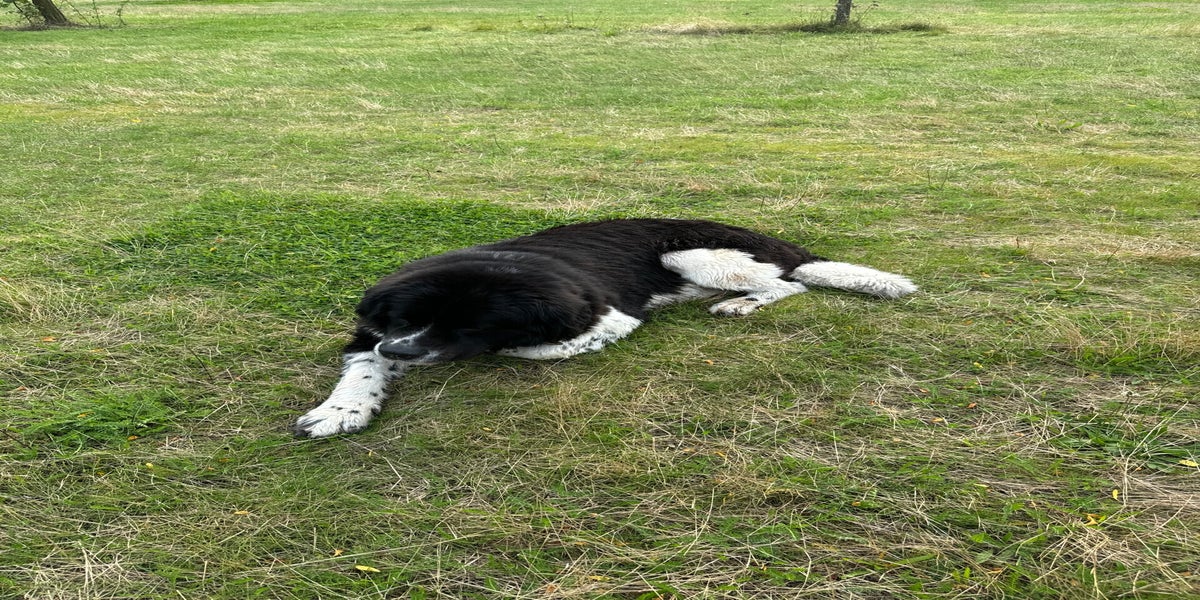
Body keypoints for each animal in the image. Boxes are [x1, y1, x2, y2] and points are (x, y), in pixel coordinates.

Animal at [294, 218, 917, 437]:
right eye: (405, 320)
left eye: (469, 329)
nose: (400, 352)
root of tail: (784, 241)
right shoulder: (373, 332)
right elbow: (361, 367)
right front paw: (341, 410)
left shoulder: (612, 317)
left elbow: (533, 351)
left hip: (691, 254)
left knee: (790, 285)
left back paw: (742, 304)